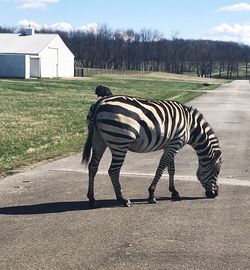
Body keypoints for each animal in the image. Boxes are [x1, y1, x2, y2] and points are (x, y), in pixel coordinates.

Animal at [83, 95, 222, 207]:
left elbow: (171, 169)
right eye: (217, 171)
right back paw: (123, 199)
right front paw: (151, 194)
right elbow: (161, 168)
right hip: (120, 143)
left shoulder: (171, 145)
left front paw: (174, 192)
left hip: (98, 140)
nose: (215, 194)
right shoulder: (175, 144)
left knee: (93, 167)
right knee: (113, 171)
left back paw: (92, 198)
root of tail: (100, 103)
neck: (190, 126)